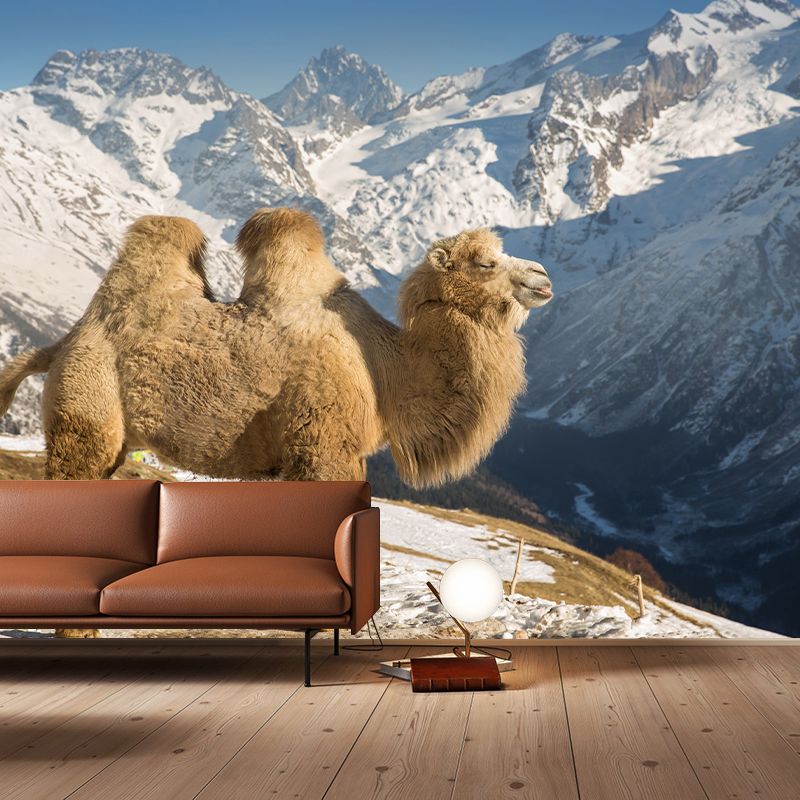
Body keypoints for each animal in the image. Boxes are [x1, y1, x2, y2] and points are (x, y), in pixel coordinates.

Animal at [0, 208, 553, 487]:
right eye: (485, 262)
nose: (542, 277)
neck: (383, 371)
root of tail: (63, 343)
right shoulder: (323, 448)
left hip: (114, 437)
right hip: (86, 412)